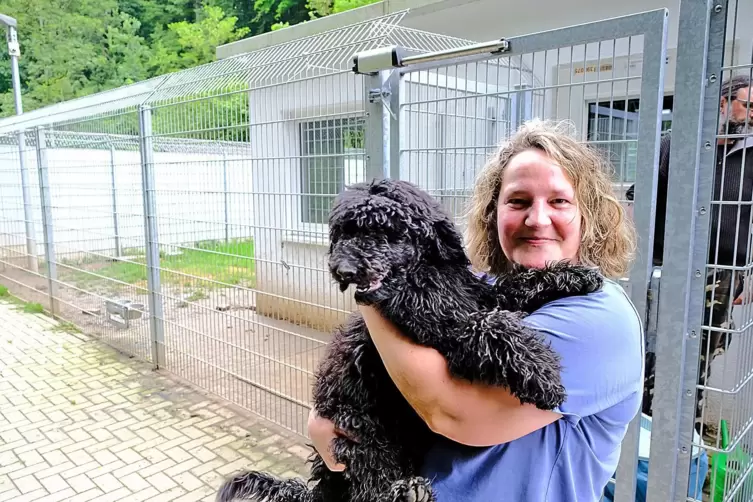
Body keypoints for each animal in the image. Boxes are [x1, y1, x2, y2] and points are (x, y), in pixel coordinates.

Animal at [214, 178, 604, 500]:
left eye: (385, 231)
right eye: (343, 232)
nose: (343, 270)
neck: (425, 278)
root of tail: (322, 489)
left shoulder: (478, 295)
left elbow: (512, 287)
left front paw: (575, 275)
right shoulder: (447, 330)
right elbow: (489, 325)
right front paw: (542, 375)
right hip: (360, 431)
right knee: (370, 479)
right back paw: (403, 494)